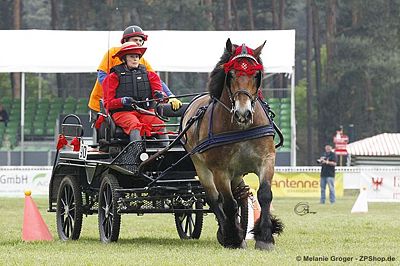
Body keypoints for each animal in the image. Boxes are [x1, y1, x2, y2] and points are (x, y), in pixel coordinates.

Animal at [181, 38, 282, 250]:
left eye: (256, 74)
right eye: (232, 74)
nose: (243, 113)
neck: (240, 128)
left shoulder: (267, 160)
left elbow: (264, 195)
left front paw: (265, 237)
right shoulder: (220, 170)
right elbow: (227, 203)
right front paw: (233, 237)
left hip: (237, 172)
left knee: (239, 196)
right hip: (201, 166)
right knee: (214, 198)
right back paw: (227, 231)